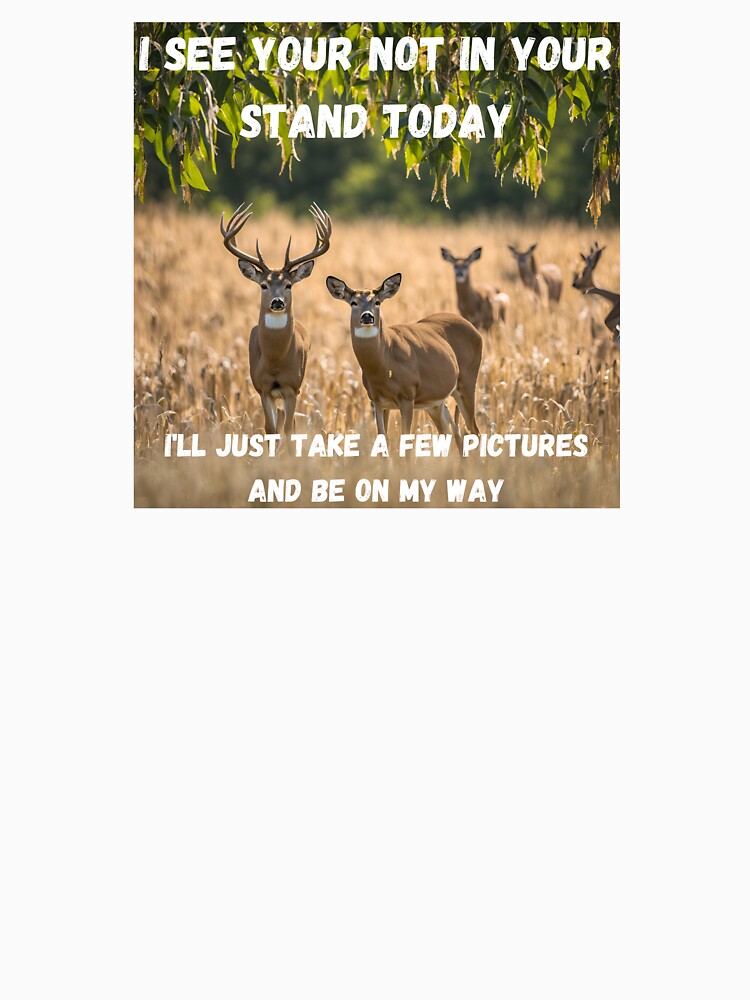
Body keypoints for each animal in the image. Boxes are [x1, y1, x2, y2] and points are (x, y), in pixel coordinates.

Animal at [220, 201, 332, 434]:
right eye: (263, 285)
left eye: (288, 285)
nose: (277, 302)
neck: (275, 361)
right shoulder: (263, 388)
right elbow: (271, 429)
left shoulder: (291, 387)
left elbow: (288, 430)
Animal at [325, 272, 482, 445]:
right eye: (353, 303)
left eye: (377, 302)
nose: (367, 316)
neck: (383, 367)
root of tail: (475, 330)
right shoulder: (377, 401)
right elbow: (383, 439)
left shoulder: (407, 396)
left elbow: (405, 440)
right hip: (435, 401)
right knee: (451, 430)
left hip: (467, 382)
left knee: (473, 429)